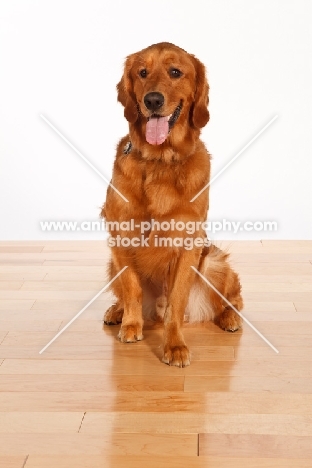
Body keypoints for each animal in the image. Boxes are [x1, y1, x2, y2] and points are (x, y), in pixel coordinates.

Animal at [101, 42, 243, 368]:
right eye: (142, 73)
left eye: (175, 72)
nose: (152, 99)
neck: (160, 161)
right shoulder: (120, 236)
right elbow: (132, 287)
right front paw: (131, 324)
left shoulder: (188, 243)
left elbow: (176, 301)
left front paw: (175, 345)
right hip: (110, 263)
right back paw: (118, 312)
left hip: (214, 262)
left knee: (233, 299)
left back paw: (230, 318)